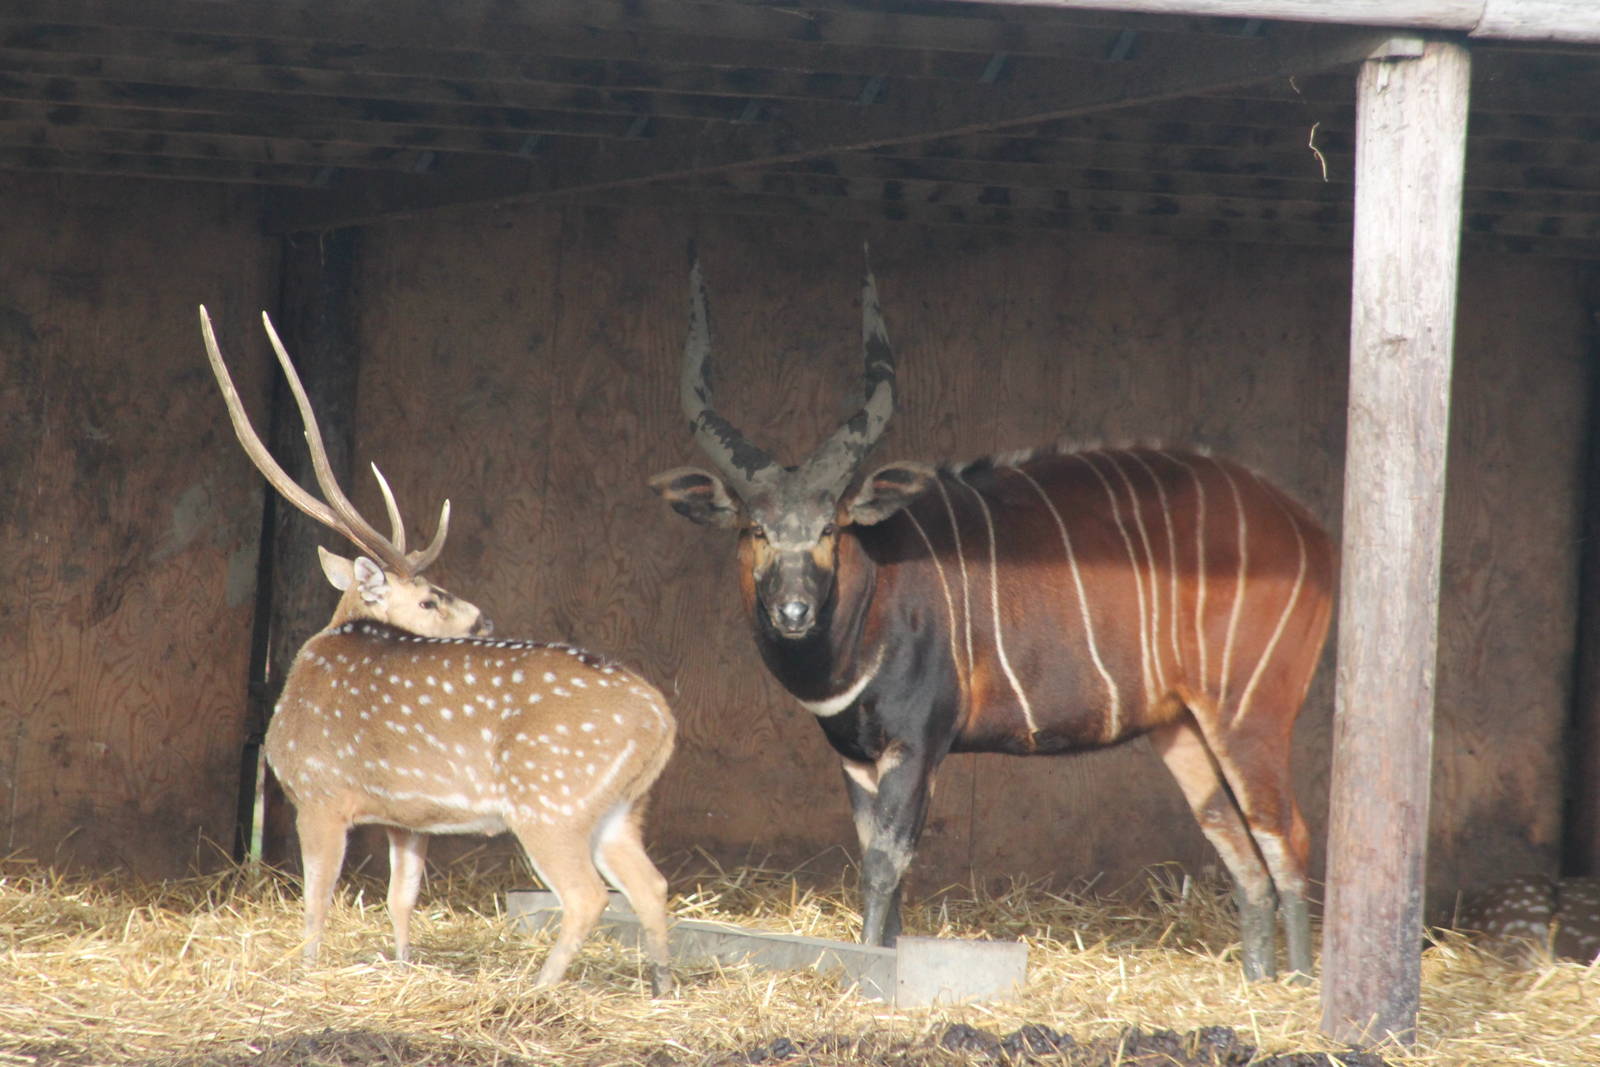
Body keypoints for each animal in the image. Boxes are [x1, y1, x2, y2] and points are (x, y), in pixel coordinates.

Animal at [200, 306, 675, 994]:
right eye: (428, 600)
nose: (483, 618)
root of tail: (663, 721)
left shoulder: (320, 792)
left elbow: (316, 898)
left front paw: (309, 970)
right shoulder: (406, 817)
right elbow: (401, 899)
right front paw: (402, 965)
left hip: (552, 798)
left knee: (589, 895)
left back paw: (538, 988)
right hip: (621, 807)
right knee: (651, 885)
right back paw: (660, 988)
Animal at [650, 251, 1335, 981]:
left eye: (832, 526)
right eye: (754, 527)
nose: (794, 610)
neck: (872, 599)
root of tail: (1311, 531)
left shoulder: (918, 742)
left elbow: (885, 867)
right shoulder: (857, 757)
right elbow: (881, 869)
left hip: (1250, 711)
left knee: (1286, 833)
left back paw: (1295, 983)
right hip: (1182, 727)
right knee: (1240, 848)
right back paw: (1259, 978)